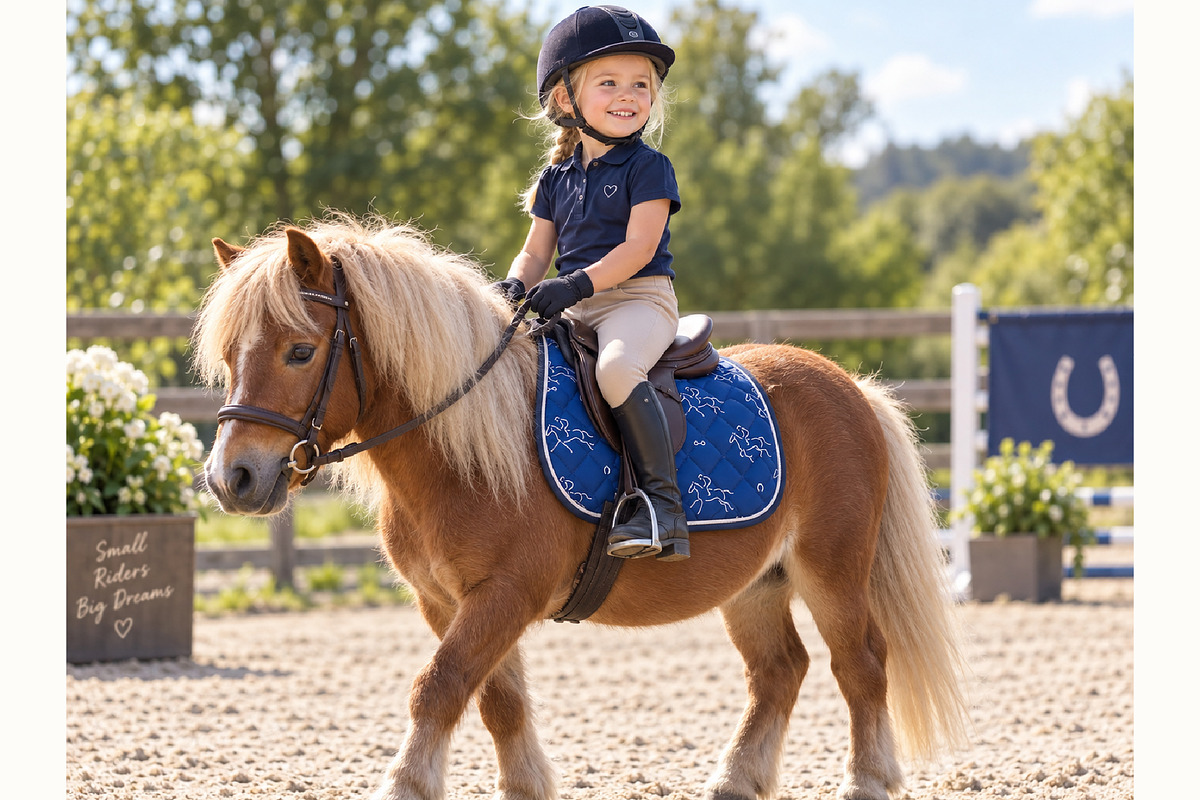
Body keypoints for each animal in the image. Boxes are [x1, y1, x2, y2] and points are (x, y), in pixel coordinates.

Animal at [193, 213, 969, 800]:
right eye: (230, 353)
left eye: (299, 351)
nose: (233, 478)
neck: (468, 450)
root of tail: (850, 387)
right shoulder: (448, 600)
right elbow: (495, 699)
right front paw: (526, 786)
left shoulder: (505, 592)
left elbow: (438, 687)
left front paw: (406, 785)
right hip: (756, 584)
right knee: (780, 671)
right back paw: (736, 779)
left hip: (831, 569)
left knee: (861, 664)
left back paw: (867, 781)